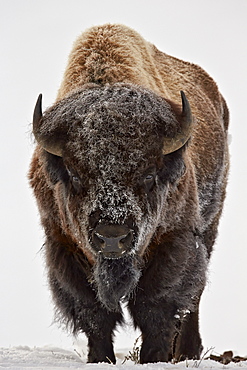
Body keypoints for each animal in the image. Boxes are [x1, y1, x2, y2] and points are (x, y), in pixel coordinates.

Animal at [29, 23, 230, 364]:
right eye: (74, 175)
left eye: (149, 175)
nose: (113, 236)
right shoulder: (63, 243)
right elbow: (93, 311)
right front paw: (100, 359)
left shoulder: (174, 240)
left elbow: (156, 305)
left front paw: (154, 357)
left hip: (209, 226)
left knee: (194, 298)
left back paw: (188, 351)